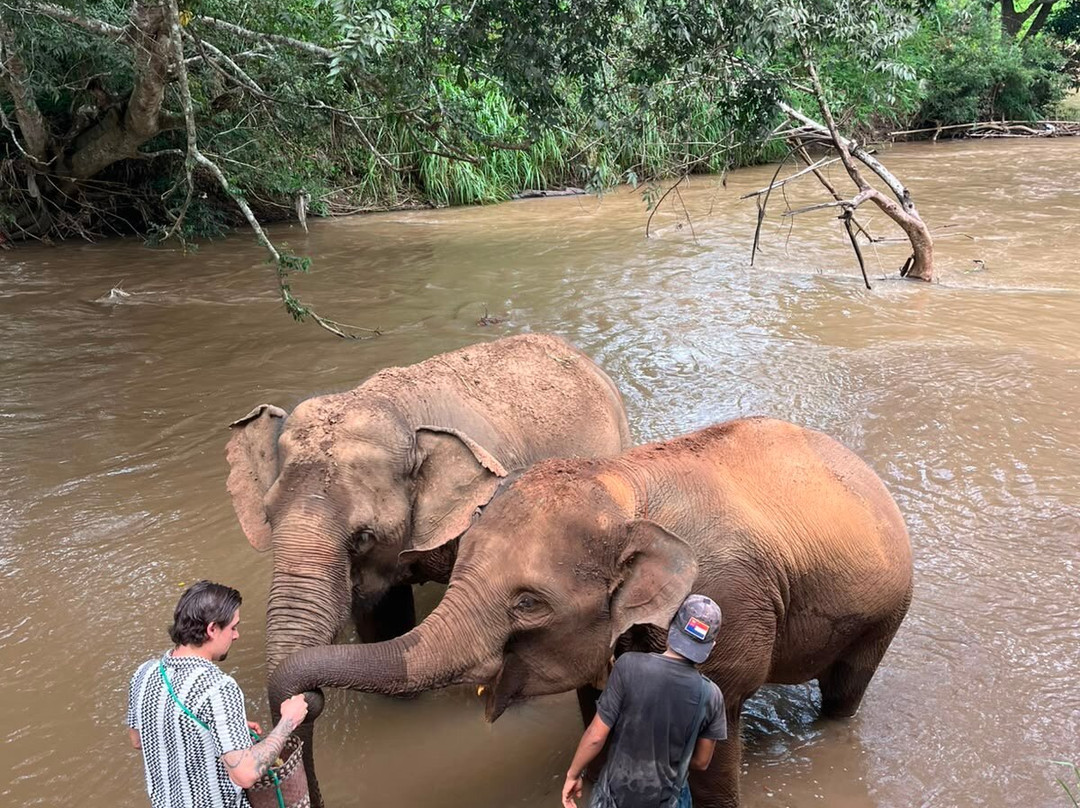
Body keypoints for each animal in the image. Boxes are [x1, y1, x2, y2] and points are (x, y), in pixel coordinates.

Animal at [269, 417, 913, 808]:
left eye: (527, 603)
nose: (310, 704)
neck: (621, 485)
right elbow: (596, 711)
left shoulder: (729, 605)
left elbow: (716, 734)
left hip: (886, 611)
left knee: (846, 690)